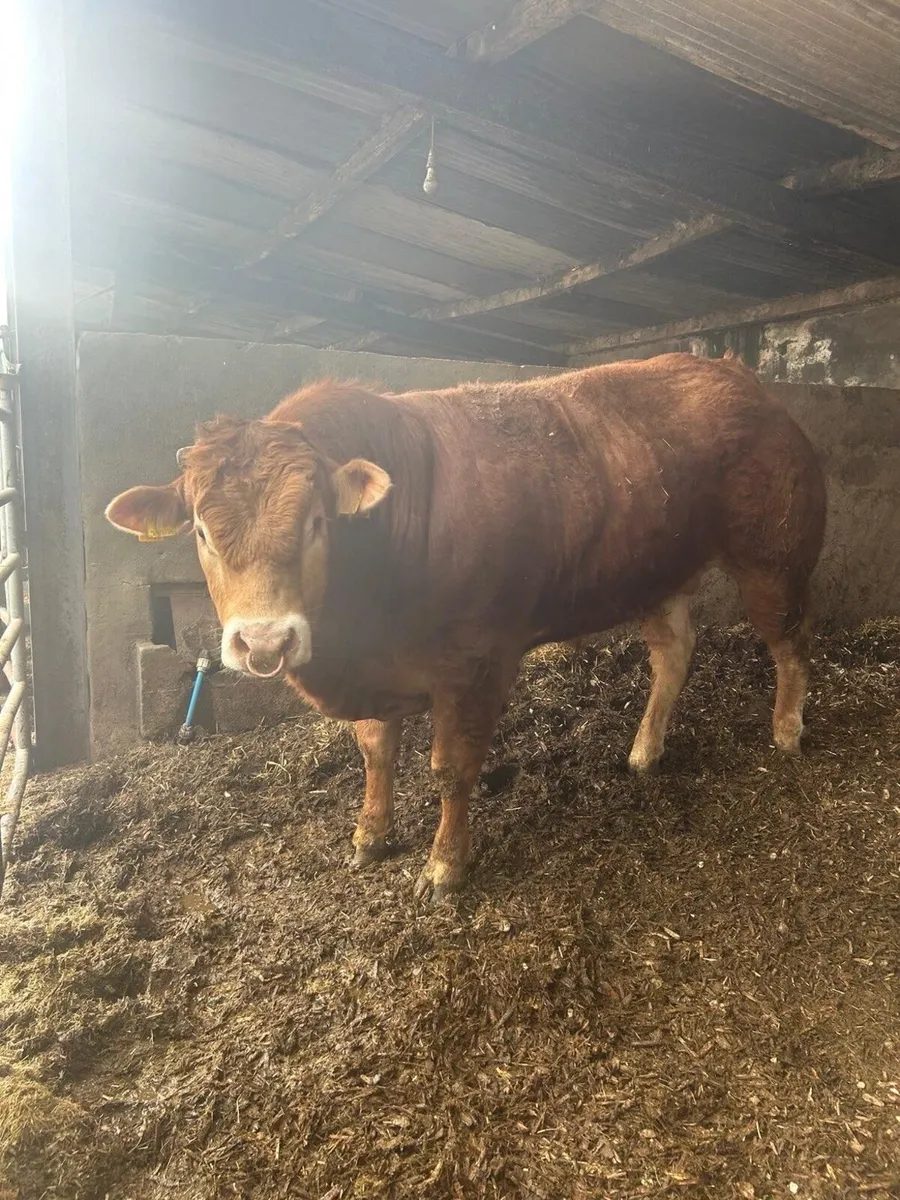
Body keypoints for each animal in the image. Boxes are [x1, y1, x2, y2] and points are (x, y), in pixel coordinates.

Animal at [106, 352, 826, 903]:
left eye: (316, 522)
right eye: (201, 531)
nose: (264, 641)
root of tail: (736, 374)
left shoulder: (475, 663)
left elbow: (452, 768)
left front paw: (444, 867)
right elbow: (376, 751)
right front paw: (370, 835)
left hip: (775, 552)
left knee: (790, 643)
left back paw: (787, 731)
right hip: (656, 569)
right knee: (674, 651)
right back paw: (645, 752)